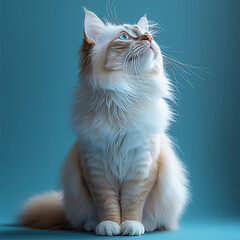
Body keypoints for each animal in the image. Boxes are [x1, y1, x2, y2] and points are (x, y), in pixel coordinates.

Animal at [17, 9, 188, 236]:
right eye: (124, 36)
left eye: (147, 34)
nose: (149, 38)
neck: (125, 94)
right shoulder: (96, 169)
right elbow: (108, 204)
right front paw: (109, 226)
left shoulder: (142, 167)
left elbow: (133, 203)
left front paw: (132, 225)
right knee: (83, 219)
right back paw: (92, 225)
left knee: (156, 219)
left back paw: (146, 225)